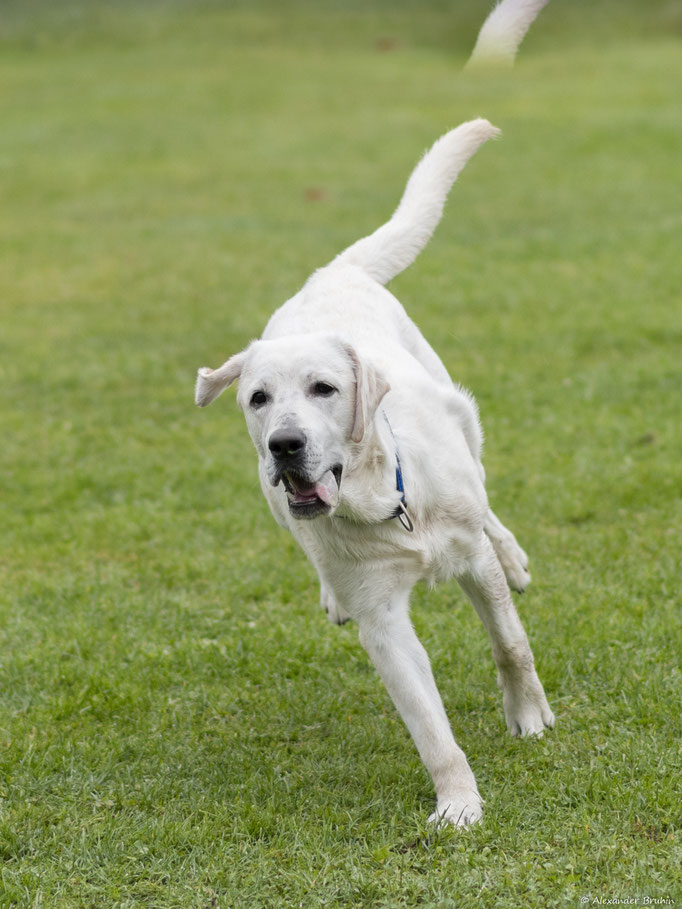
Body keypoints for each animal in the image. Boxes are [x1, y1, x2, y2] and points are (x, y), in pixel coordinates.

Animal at [195, 119, 552, 824]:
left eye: (325, 388)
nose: (284, 444)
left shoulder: (470, 559)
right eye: (258, 398)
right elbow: (429, 724)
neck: (387, 503)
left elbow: (510, 643)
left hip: (460, 414)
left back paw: (515, 555)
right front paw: (458, 804)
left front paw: (527, 716)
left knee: (489, 505)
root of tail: (329, 273)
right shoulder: (382, 622)